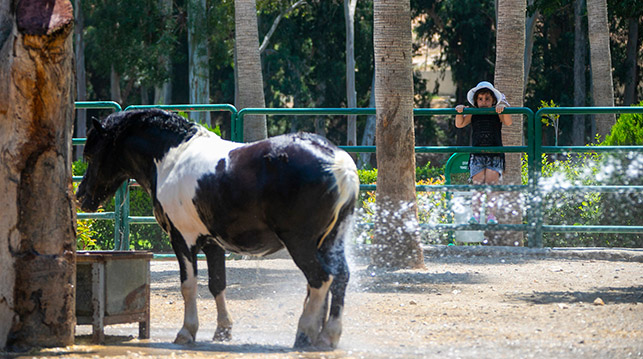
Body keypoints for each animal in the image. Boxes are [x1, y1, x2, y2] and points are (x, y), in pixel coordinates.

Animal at [76, 109, 360, 348]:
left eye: (90, 155)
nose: (81, 197)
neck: (172, 158)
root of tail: (338, 164)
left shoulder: (182, 239)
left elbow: (189, 285)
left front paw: (187, 332)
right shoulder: (212, 243)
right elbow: (217, 284)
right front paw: (223, 331)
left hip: (300, 242)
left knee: (320, 279)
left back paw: (305, 333)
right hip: (330, 241)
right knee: (340, 278)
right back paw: (327, 335)